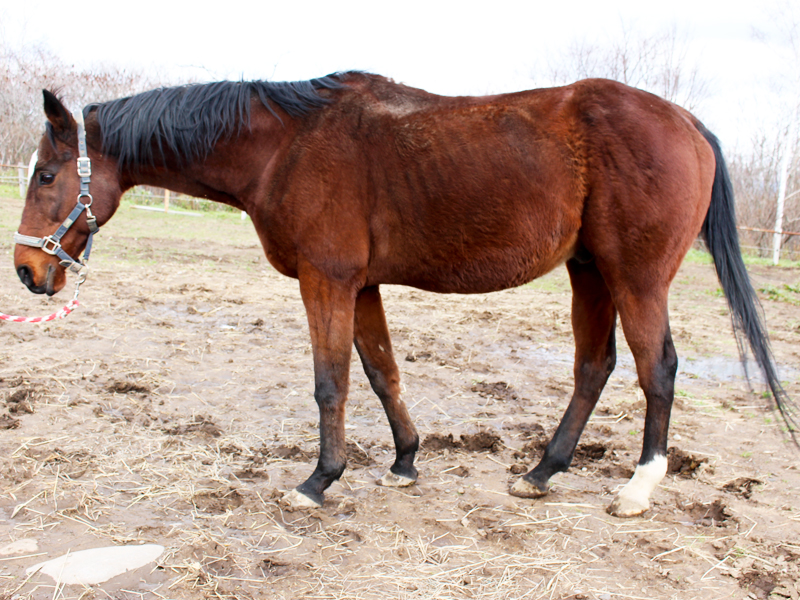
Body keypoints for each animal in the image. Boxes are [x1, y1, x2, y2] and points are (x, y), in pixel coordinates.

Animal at [10, 71, 792, 516]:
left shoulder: (327, 280)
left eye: (47, 175)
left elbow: (331, 380)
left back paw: (637, 488)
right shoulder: (361, 286)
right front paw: (405, 461)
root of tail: (687, 123)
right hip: (589, 272)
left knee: (657, 369)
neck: (286, 145)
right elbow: (382, 371)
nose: (25, 271)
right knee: (593, 367)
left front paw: (318, 481)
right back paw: (541, 473)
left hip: (636, 277)